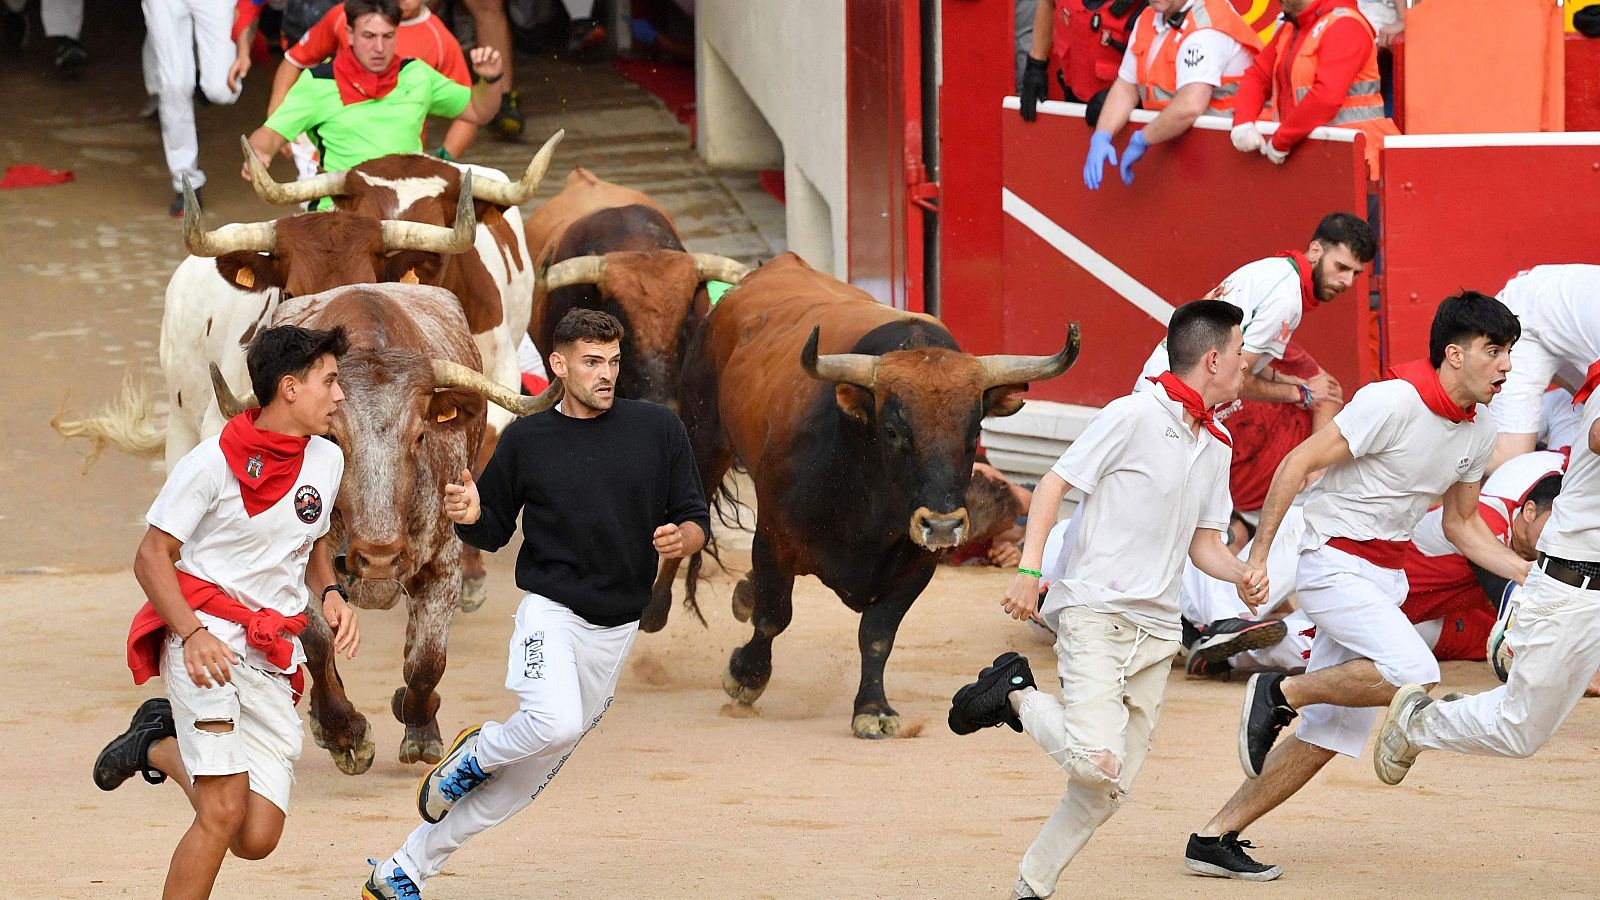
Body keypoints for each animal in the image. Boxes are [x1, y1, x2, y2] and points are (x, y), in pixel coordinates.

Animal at [204, 281, 563, 771]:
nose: (377, 558)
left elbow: (427, 659)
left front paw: (420, 727)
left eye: (420, 436)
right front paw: (345, 733)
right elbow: (317, 645)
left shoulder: (444, 563)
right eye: (332, 437)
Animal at [643, 249, 1081, 736]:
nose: (942, 526)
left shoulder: (917, 565)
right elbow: (774, 616)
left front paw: (872, 708)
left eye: (974, 434)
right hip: (703, 437)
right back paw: (656, 610)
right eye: (892, 431)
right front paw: (746, 677)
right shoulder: (773, 536)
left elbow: (877, 635)